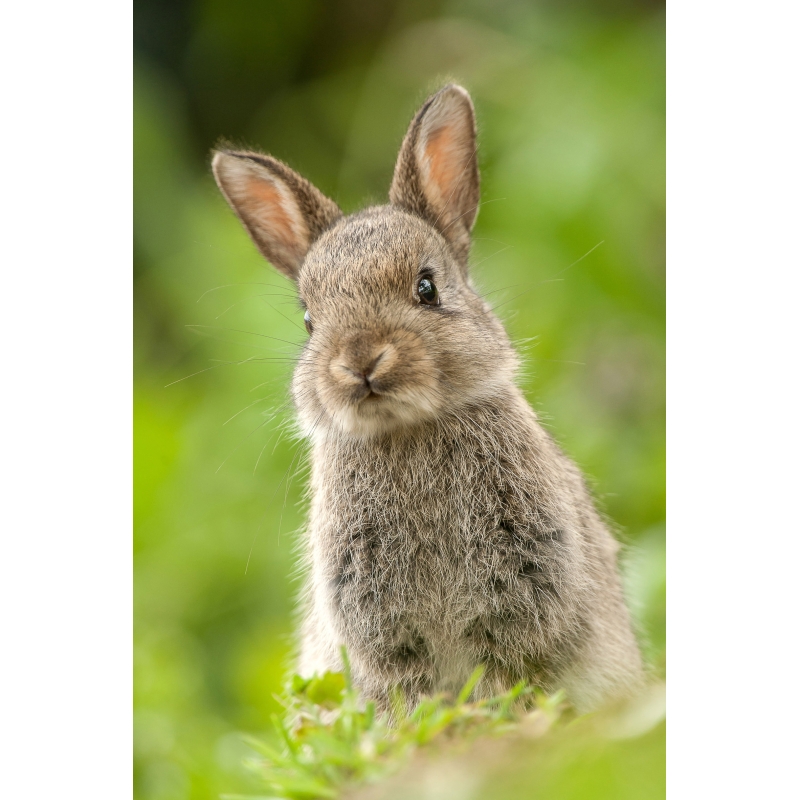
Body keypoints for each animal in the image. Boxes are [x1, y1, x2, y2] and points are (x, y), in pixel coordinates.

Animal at [211, 83, 644, 714]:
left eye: (427, 287)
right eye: (310, 319)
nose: (360, 361)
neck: (406, 429)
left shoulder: (522, 591)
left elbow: (501, 674)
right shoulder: (380, 628)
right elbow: (409, 694)